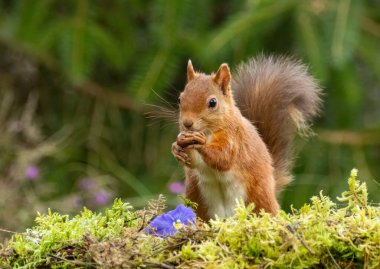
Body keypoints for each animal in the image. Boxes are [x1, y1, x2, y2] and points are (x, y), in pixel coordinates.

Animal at [171, 55, 322, 220]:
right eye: (180, 99)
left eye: (212, 102)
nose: (187, 123)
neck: (208, 132)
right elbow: (192, 163)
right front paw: (177, 147)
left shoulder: (234, 137)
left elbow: (223, 158)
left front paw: (200, 142)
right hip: (197, 198)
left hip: (259, 197)